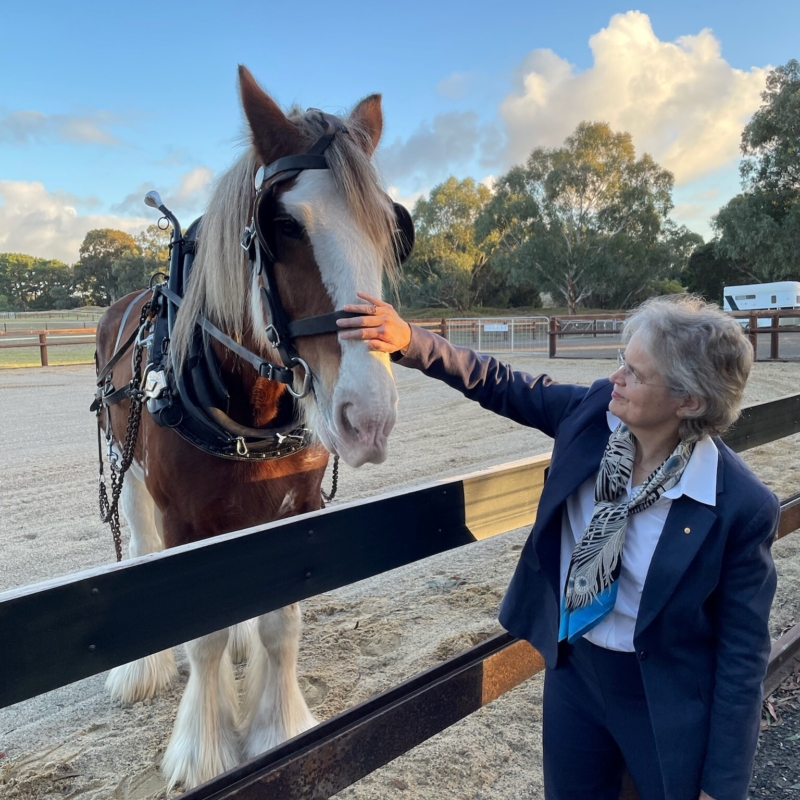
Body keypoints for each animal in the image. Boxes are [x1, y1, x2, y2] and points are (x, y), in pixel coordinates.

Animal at [94, 65, 406, 792]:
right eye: (282, 225)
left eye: (388, 228)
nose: (369, 415)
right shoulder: (184, 519)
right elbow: (202, 634)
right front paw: (203, 750)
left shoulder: (293, 509)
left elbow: (279, 624)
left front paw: (276, 727)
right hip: (128, 469)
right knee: (140, 546)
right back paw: (142, 669)